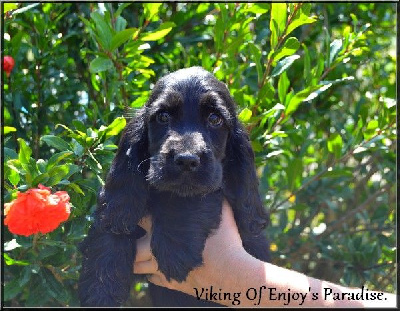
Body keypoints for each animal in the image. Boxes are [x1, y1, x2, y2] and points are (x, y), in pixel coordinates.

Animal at [79, 66, 268, 308]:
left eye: (215, 118)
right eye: (163, 116)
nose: (186, 160)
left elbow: (184, 196)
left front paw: (176, 250)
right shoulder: (118, 201)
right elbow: (112, 220)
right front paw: (100, 289)